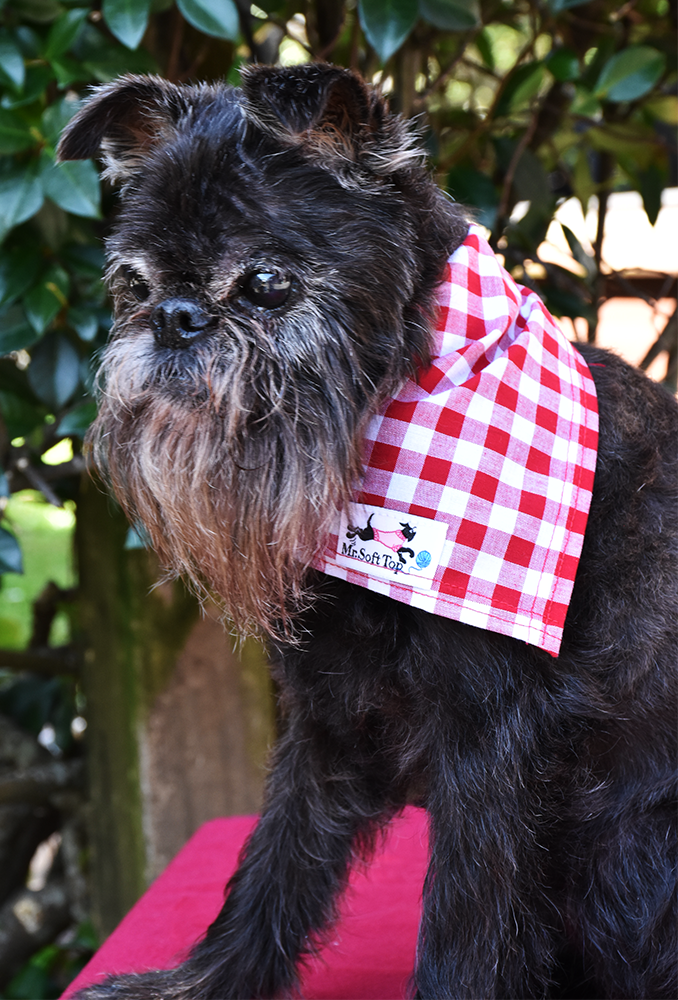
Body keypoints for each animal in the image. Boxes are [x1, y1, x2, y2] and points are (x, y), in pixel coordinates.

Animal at [58, 64, 678, 1000]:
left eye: (266, 284)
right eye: (135, 285)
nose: (173, 315)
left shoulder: (488, 743)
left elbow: (466, 917)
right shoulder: (325, 721)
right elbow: (273, 867)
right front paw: (201, 984)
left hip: (632, 853)